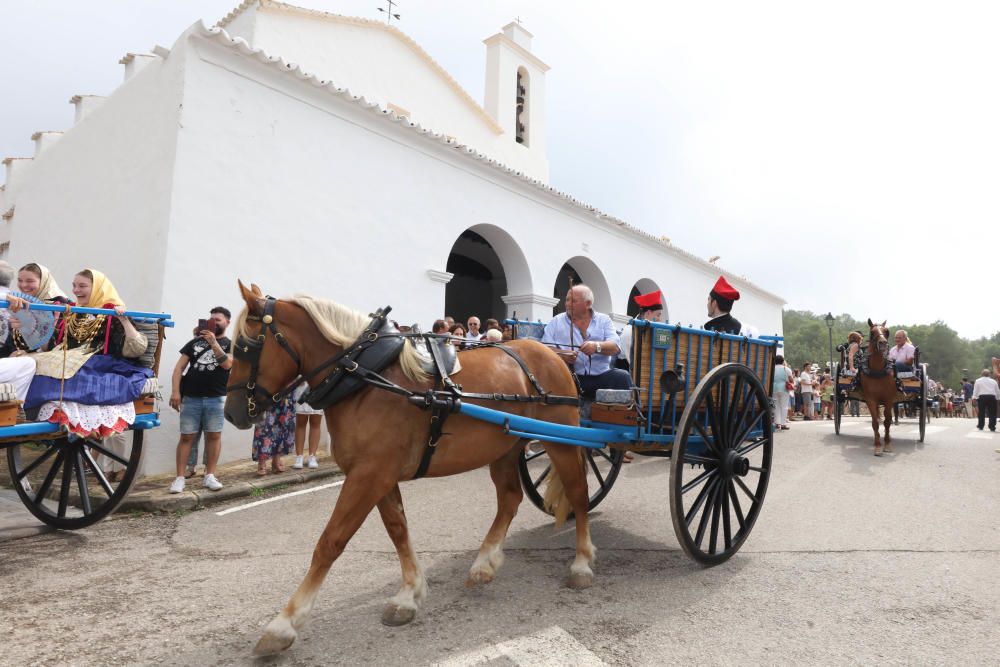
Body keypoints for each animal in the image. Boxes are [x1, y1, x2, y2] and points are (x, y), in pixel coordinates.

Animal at [225, 282, 592, 656]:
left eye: (245, 347)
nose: (232, 412)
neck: (363, 376)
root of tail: (555, 356)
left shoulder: (369, 474)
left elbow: (331, 541)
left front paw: (284, 624)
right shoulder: (379, 474)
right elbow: (398, 529)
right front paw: (409, 594)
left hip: (562, 440)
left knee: (578, 493)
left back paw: (581, 564)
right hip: (505, 447)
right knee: (510, 499)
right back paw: (484, 564)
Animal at [856, 320, 896, 456]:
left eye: (887, 331)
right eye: (872, 332)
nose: (883, 343)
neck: (878, 371)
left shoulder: (889, 399)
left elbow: (887, 421)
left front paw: (887, 444)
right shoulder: (870, 399)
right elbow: (875, 422)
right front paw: (878, 446)